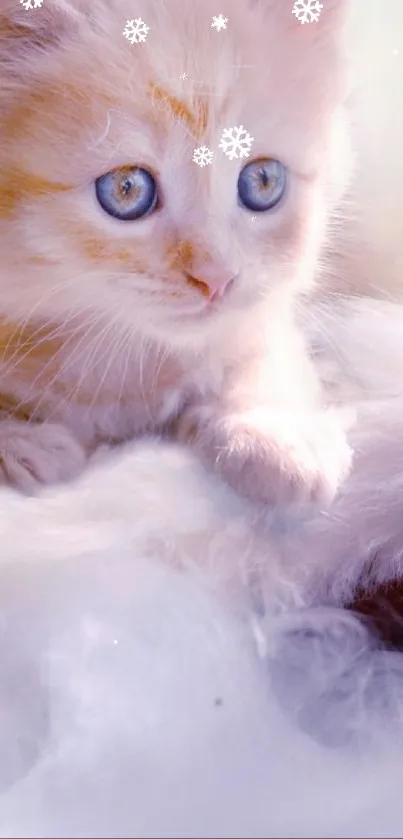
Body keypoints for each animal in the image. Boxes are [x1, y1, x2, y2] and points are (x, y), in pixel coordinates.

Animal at [0, 0, 352, 502]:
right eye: (126, 189)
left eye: (263, 181)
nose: (217, 278)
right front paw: (23, 442)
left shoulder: (256, 313)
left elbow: (258, 352)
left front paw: (275, 432)